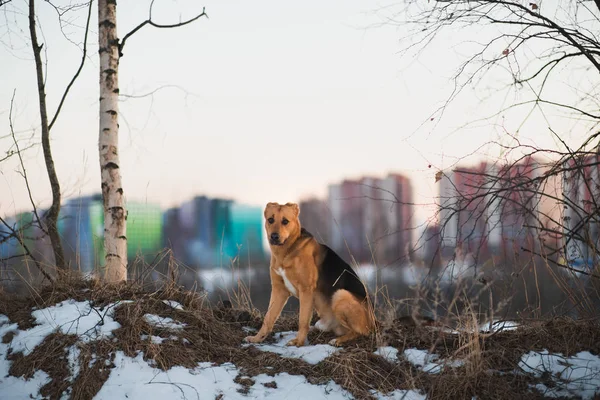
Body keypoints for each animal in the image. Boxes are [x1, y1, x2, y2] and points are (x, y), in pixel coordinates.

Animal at [241, 203, 372, 346]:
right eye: (270, 220)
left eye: (285, 221)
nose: (274, 236)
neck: (286, 252)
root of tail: (373, 320)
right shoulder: (279, 290)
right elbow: (268, 318)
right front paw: (257, 338)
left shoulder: (306, 290)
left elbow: (302, 320)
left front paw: (298, 342)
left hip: (341, 295)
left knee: (359, 332)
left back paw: (337, 340)